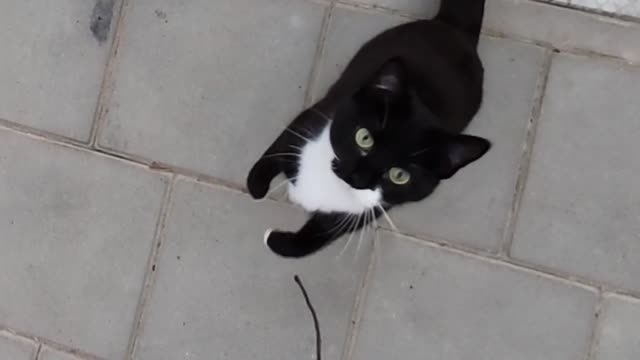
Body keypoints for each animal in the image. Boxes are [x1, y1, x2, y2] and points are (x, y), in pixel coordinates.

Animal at [249, 0, 490, 258]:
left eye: (400, 175)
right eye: (364, 138)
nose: (358, 178)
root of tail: (456, 29)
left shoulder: (373, 208)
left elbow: (319, 237)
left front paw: (275, 239)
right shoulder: (315, 117)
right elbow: (280, 145)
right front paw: (257, 186)